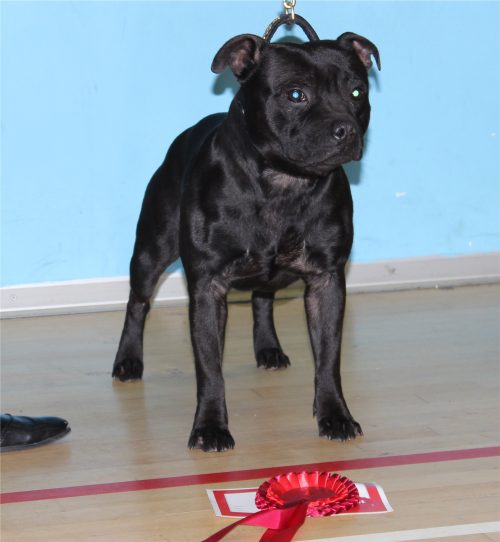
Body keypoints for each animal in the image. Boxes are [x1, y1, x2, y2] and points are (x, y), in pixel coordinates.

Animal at [112, 31, 380, 452]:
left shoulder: (326, 281)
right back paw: (128, 360)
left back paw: (268, 348)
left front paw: (335, 415)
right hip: (150, 252)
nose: (346, 129)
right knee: (137, 302)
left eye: (357, 92)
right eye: (296, 94)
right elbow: (209, 369)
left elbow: (328, 359)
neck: (284, 182)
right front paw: (210, 427)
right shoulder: (208, 287)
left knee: (262, 298)